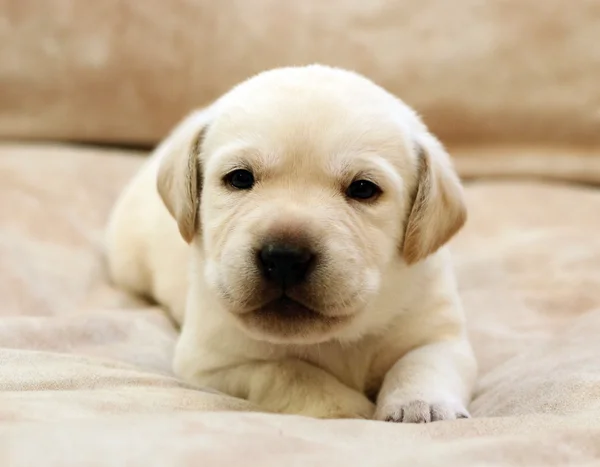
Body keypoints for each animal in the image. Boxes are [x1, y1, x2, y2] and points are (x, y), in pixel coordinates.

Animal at [104, 65, 478, 420]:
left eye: (363, 189)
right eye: (240, 178)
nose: (284, 257)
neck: (337, 340)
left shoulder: (440, 332)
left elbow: (422, 361)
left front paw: (421, 404)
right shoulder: (211, 363)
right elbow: (287, 370)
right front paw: (344, 405)